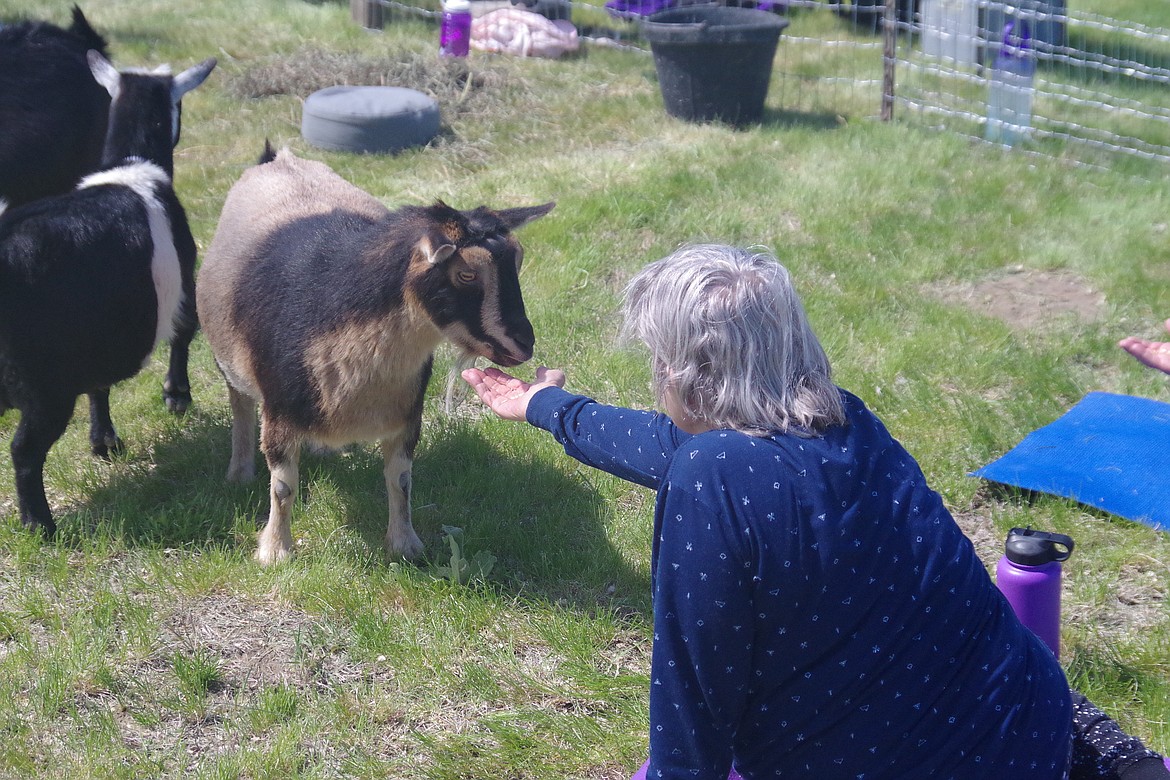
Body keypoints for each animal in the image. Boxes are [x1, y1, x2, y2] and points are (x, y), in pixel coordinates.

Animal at [0, 48, 215, 537]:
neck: (131, 166)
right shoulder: (184, 279)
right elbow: (184, 331)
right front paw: (177, 396)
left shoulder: (100, 333)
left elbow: (99, 386)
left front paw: (105, 442)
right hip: (44, 383)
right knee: (24, 450)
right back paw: (40, 525)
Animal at [196, 146, 552, 563]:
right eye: (466, 274)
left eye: (519, 259)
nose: (523, 343)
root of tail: (278, 157)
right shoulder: (279, 409)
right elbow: (283, 487)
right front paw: (275, 552)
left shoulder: (407, 413)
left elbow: (401, 480)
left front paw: (405, 545)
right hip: (229, 362)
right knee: (239, 404)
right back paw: (239, 472)